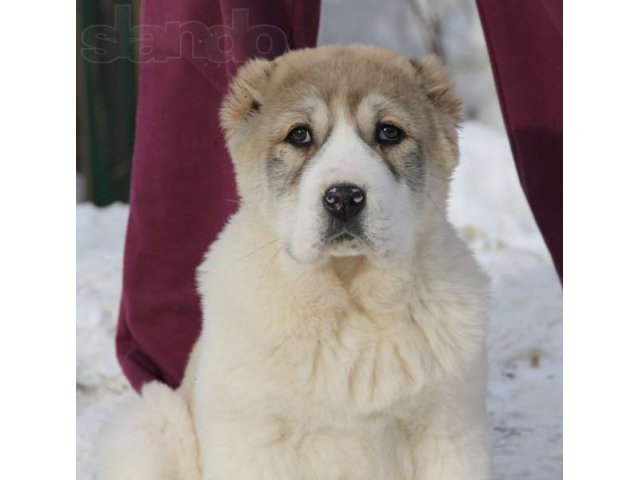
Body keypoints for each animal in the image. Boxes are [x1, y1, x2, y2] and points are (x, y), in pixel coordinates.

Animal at [99, 45, 490, 480]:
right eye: (299, 135)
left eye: (389, 133)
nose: (343, 197)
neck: (351, 301)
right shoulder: (254, 442)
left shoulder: (448, 434)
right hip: (152, 425)